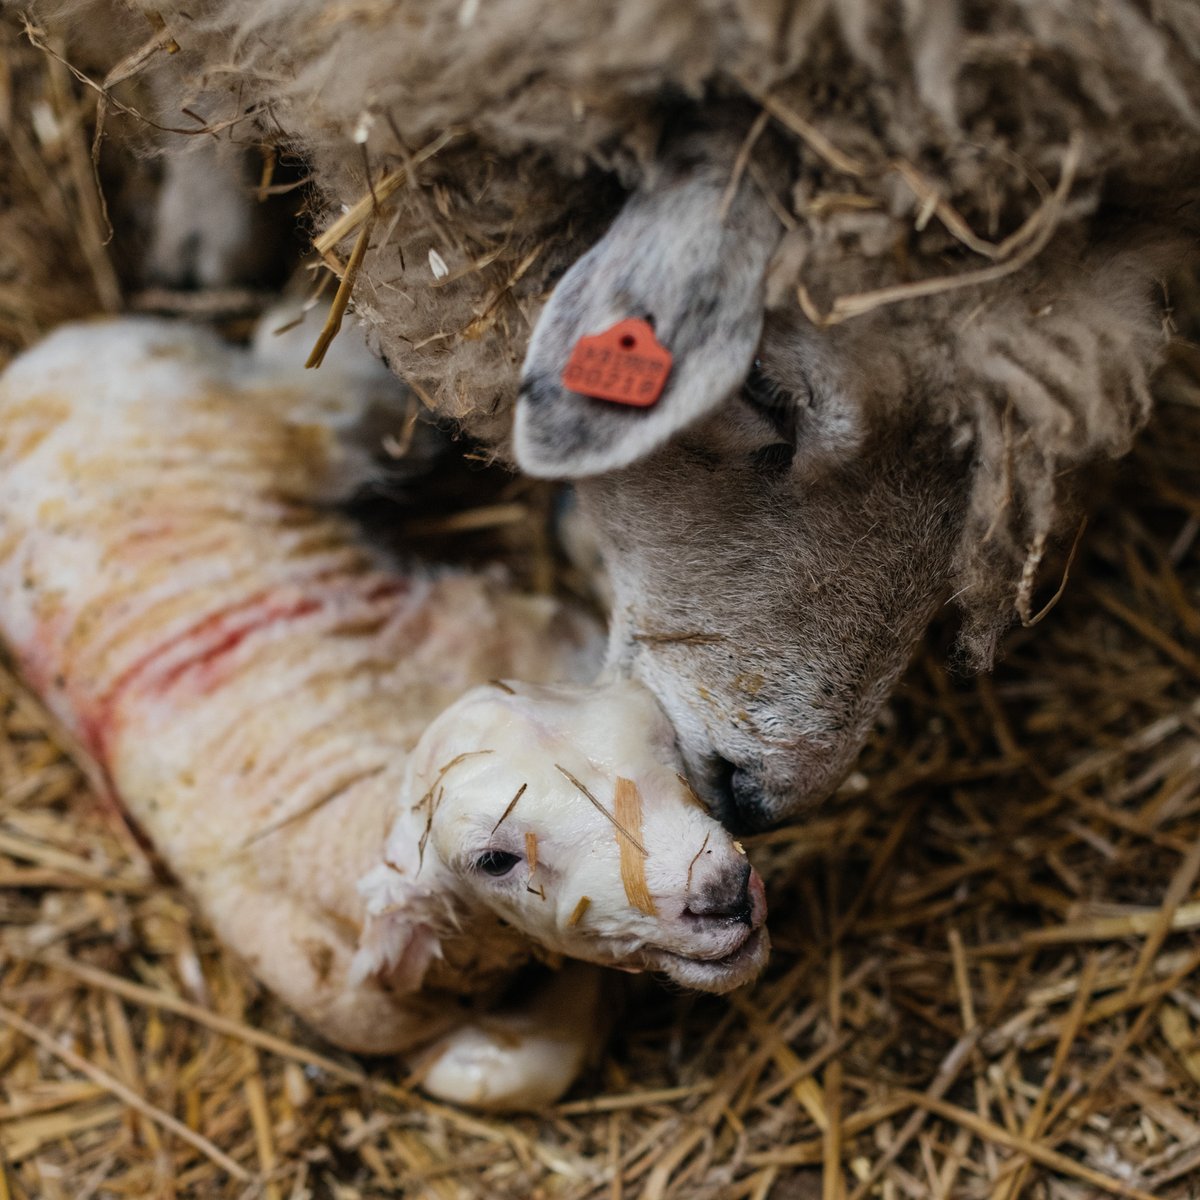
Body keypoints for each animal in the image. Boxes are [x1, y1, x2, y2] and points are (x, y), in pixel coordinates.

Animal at [0, 312, 769, 1111]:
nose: (721, 892)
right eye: (494, 861)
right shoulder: (370, 1018)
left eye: (667, 749)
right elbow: (502, 1074)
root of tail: (35, 364)